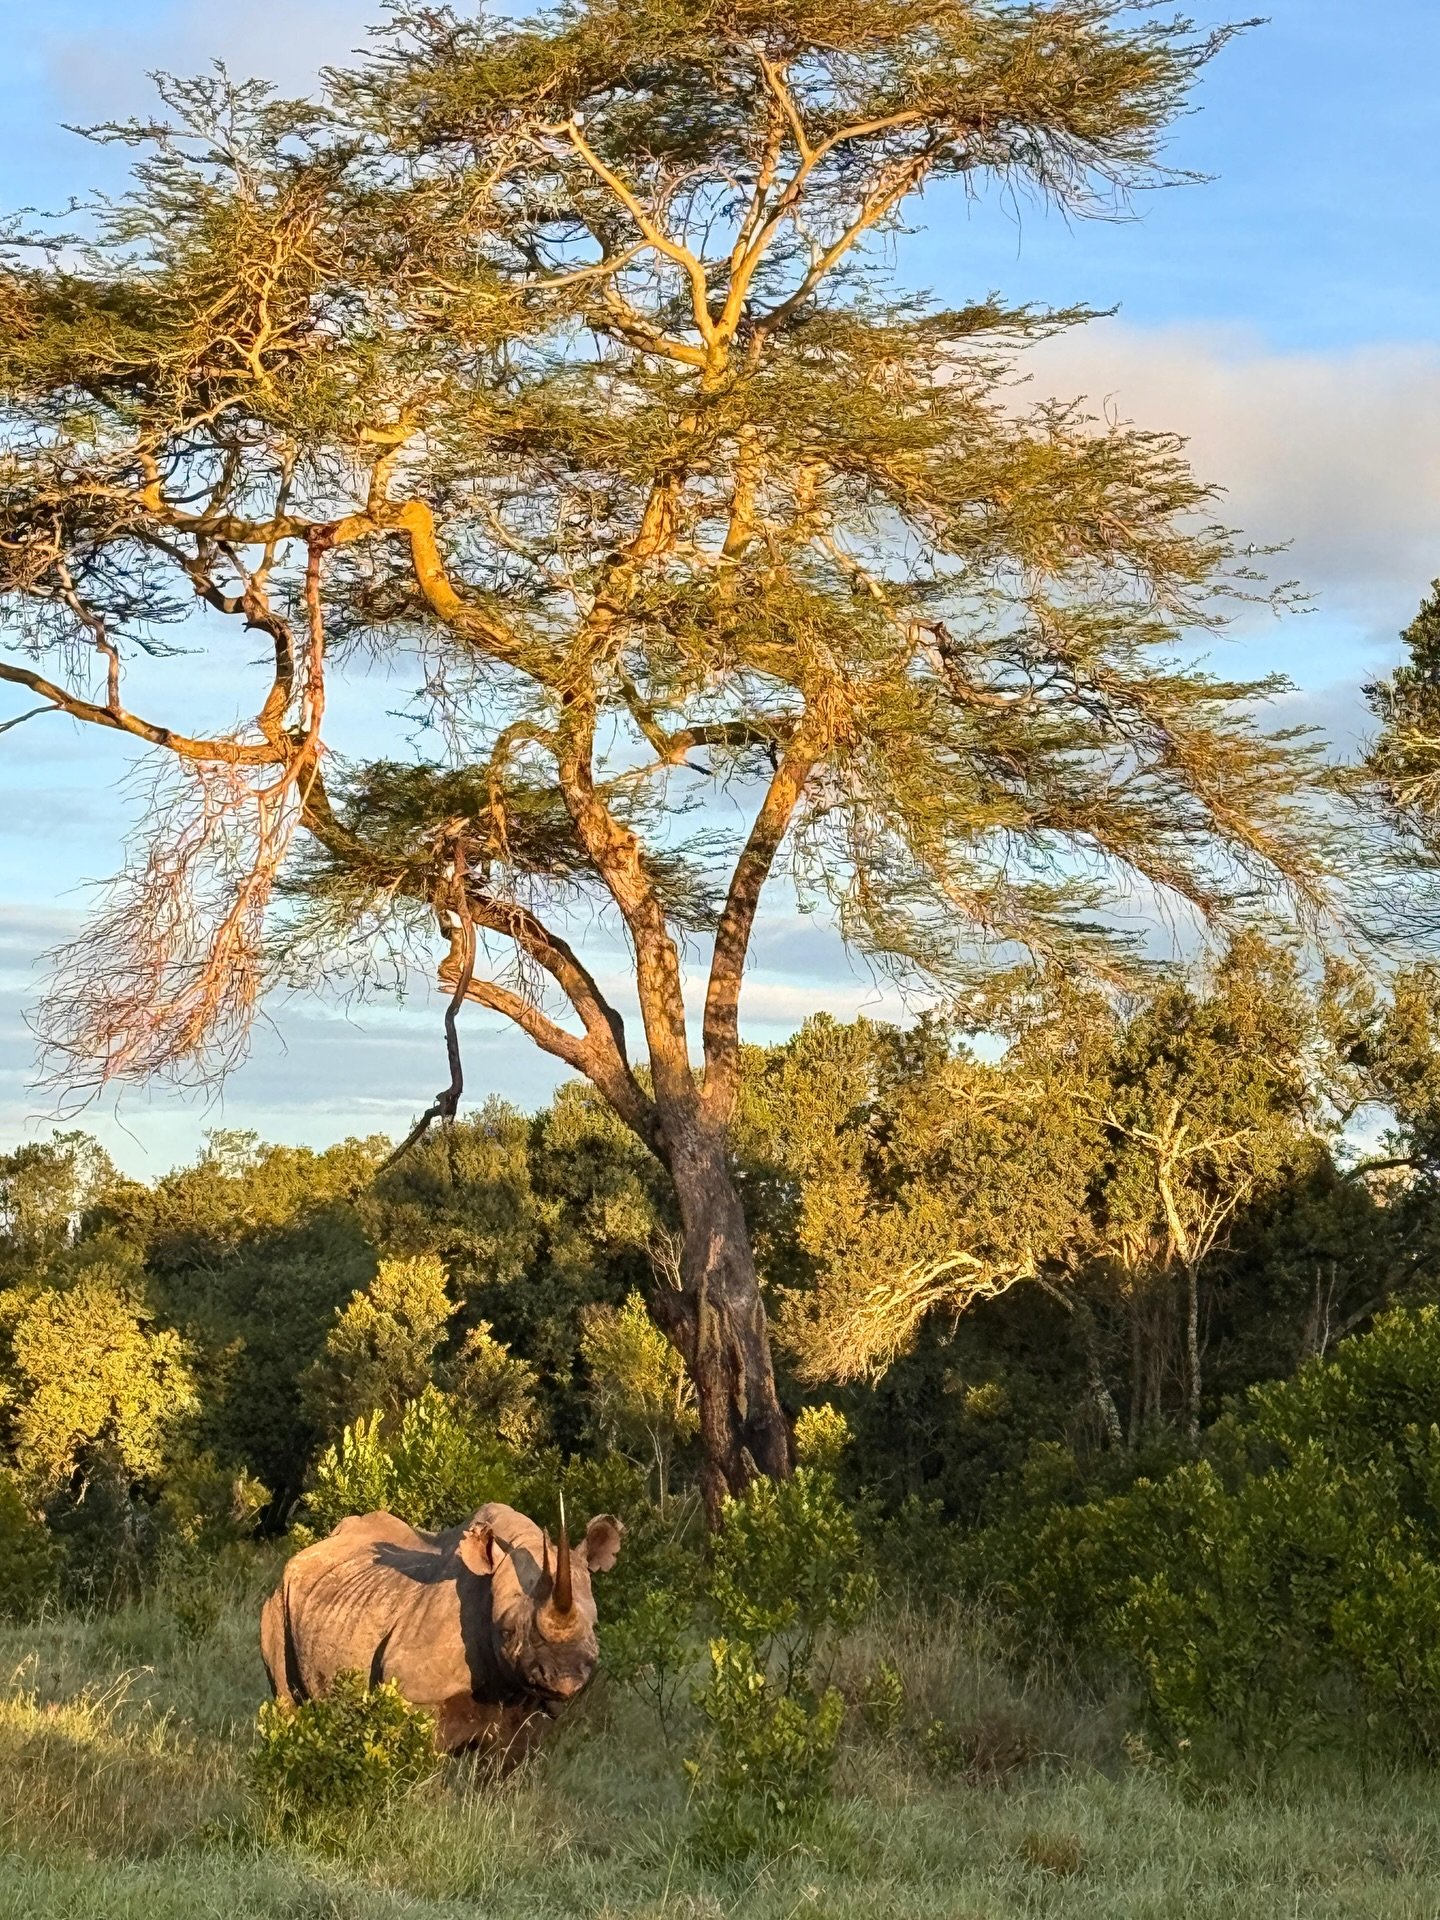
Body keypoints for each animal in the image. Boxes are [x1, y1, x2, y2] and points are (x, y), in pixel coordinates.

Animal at [260, 1500, 623, 1761]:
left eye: (594, 1626)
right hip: (277, 1601)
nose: (565, 1677)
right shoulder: (417, 1693)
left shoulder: (533, 1706)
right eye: (506, 1632)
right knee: (286, 1701)